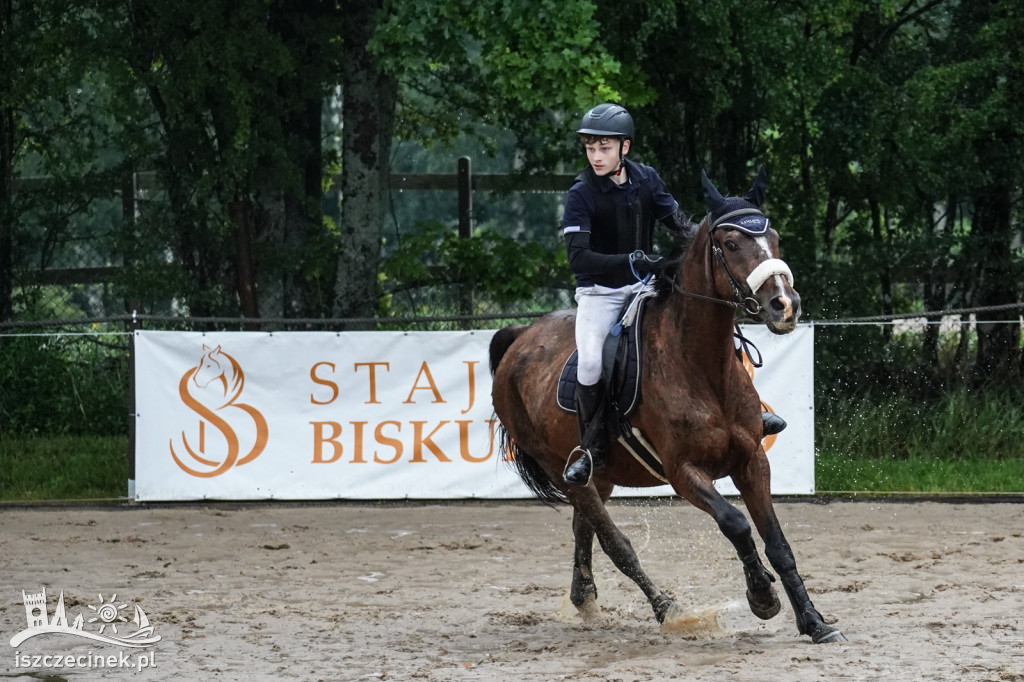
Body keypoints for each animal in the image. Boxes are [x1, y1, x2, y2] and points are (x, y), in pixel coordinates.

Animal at [487, 165, 847, 643]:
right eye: (731, 244)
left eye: (774, 237)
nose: (784, 306)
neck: (701, 366)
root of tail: (518, 338)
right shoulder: (683, 471)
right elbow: (735, 523)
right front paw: (762, 596)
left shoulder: (752, 460)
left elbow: (779, 544)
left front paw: (814, 621)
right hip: (561, 469)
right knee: (614, 541)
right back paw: (665, 608)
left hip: (600, 474)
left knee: (585, 527)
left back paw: (584, 598)